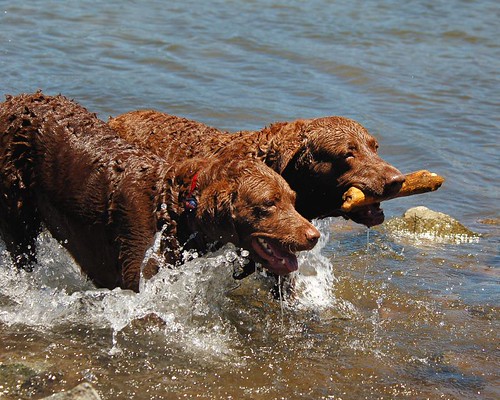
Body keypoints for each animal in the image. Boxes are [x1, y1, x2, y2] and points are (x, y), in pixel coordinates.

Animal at [0, 94, 320, 290]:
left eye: (293, 201)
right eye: (269, 203)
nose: (314, 236)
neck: (172, 209)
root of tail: (14, 101)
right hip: (16, 211)